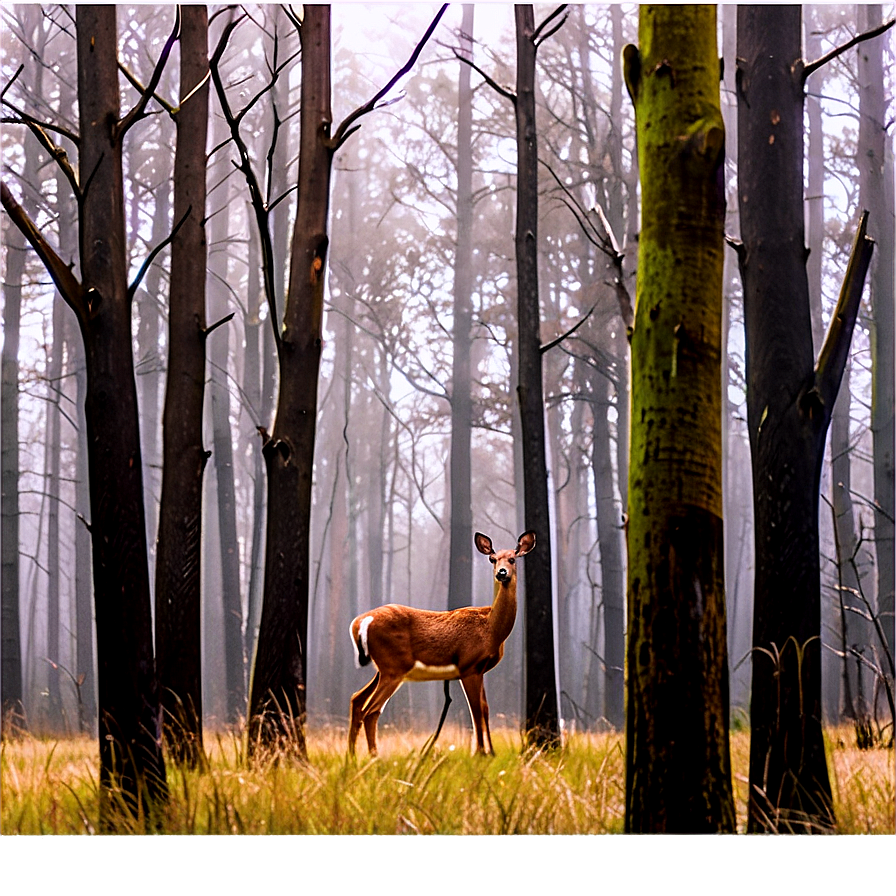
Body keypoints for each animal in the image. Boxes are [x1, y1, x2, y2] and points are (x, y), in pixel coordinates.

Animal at [348, 532, 532, 756]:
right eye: (492, 559)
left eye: (512, 559)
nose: (501, 573)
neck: (491, 628)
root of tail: (361, 621)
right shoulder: (468, 665)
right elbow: (476, 709)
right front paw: (479, 753)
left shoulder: (480, 668)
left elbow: (485, 708)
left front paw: (490, 752)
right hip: (394, 666)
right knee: (371, 711)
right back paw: (374, 756)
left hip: (383, 667)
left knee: (357, 699)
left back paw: (353, 757)